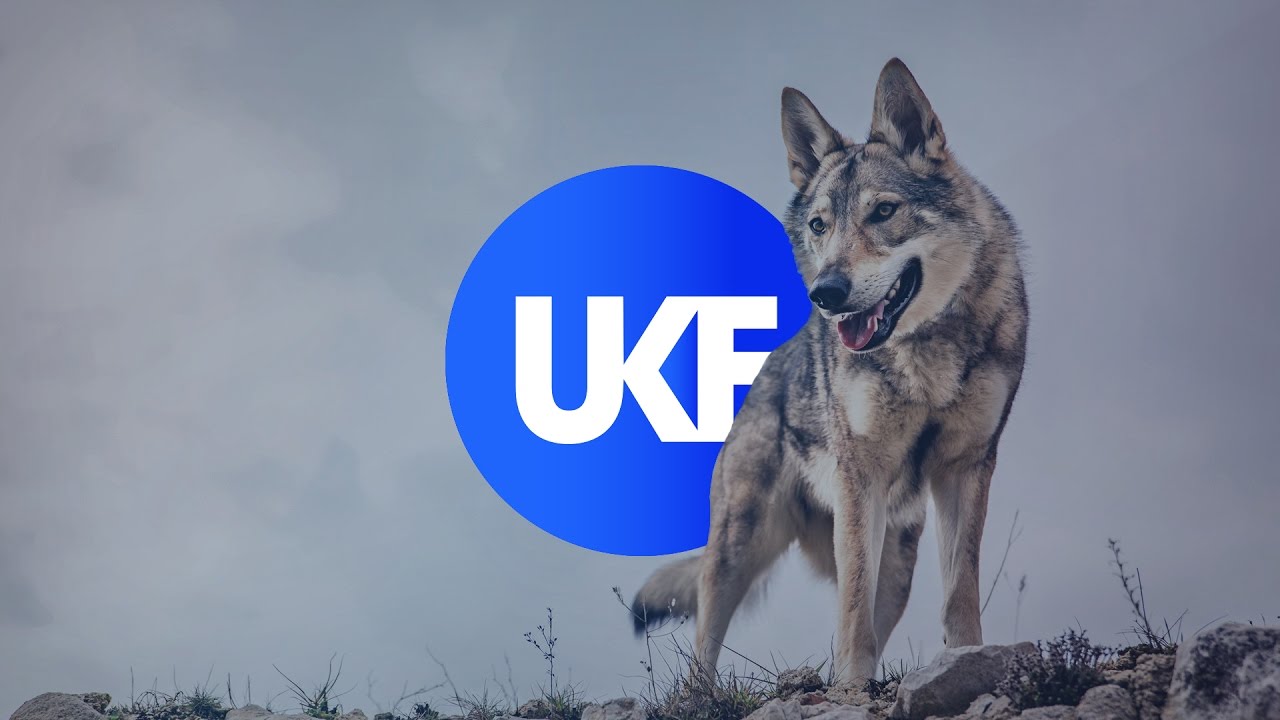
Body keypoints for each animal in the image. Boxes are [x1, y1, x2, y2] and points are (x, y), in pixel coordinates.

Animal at [631, 58, 1028, 685]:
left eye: (883, 211)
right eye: (819, 226)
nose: (827, 294)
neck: (925, 355)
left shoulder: (967, 467)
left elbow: (959, 593)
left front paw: (967, 662)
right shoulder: (860, 474)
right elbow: (852, 609)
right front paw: (852, 688)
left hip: (897, 560)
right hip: (740, 545)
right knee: (704, 647)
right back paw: (703, 696)